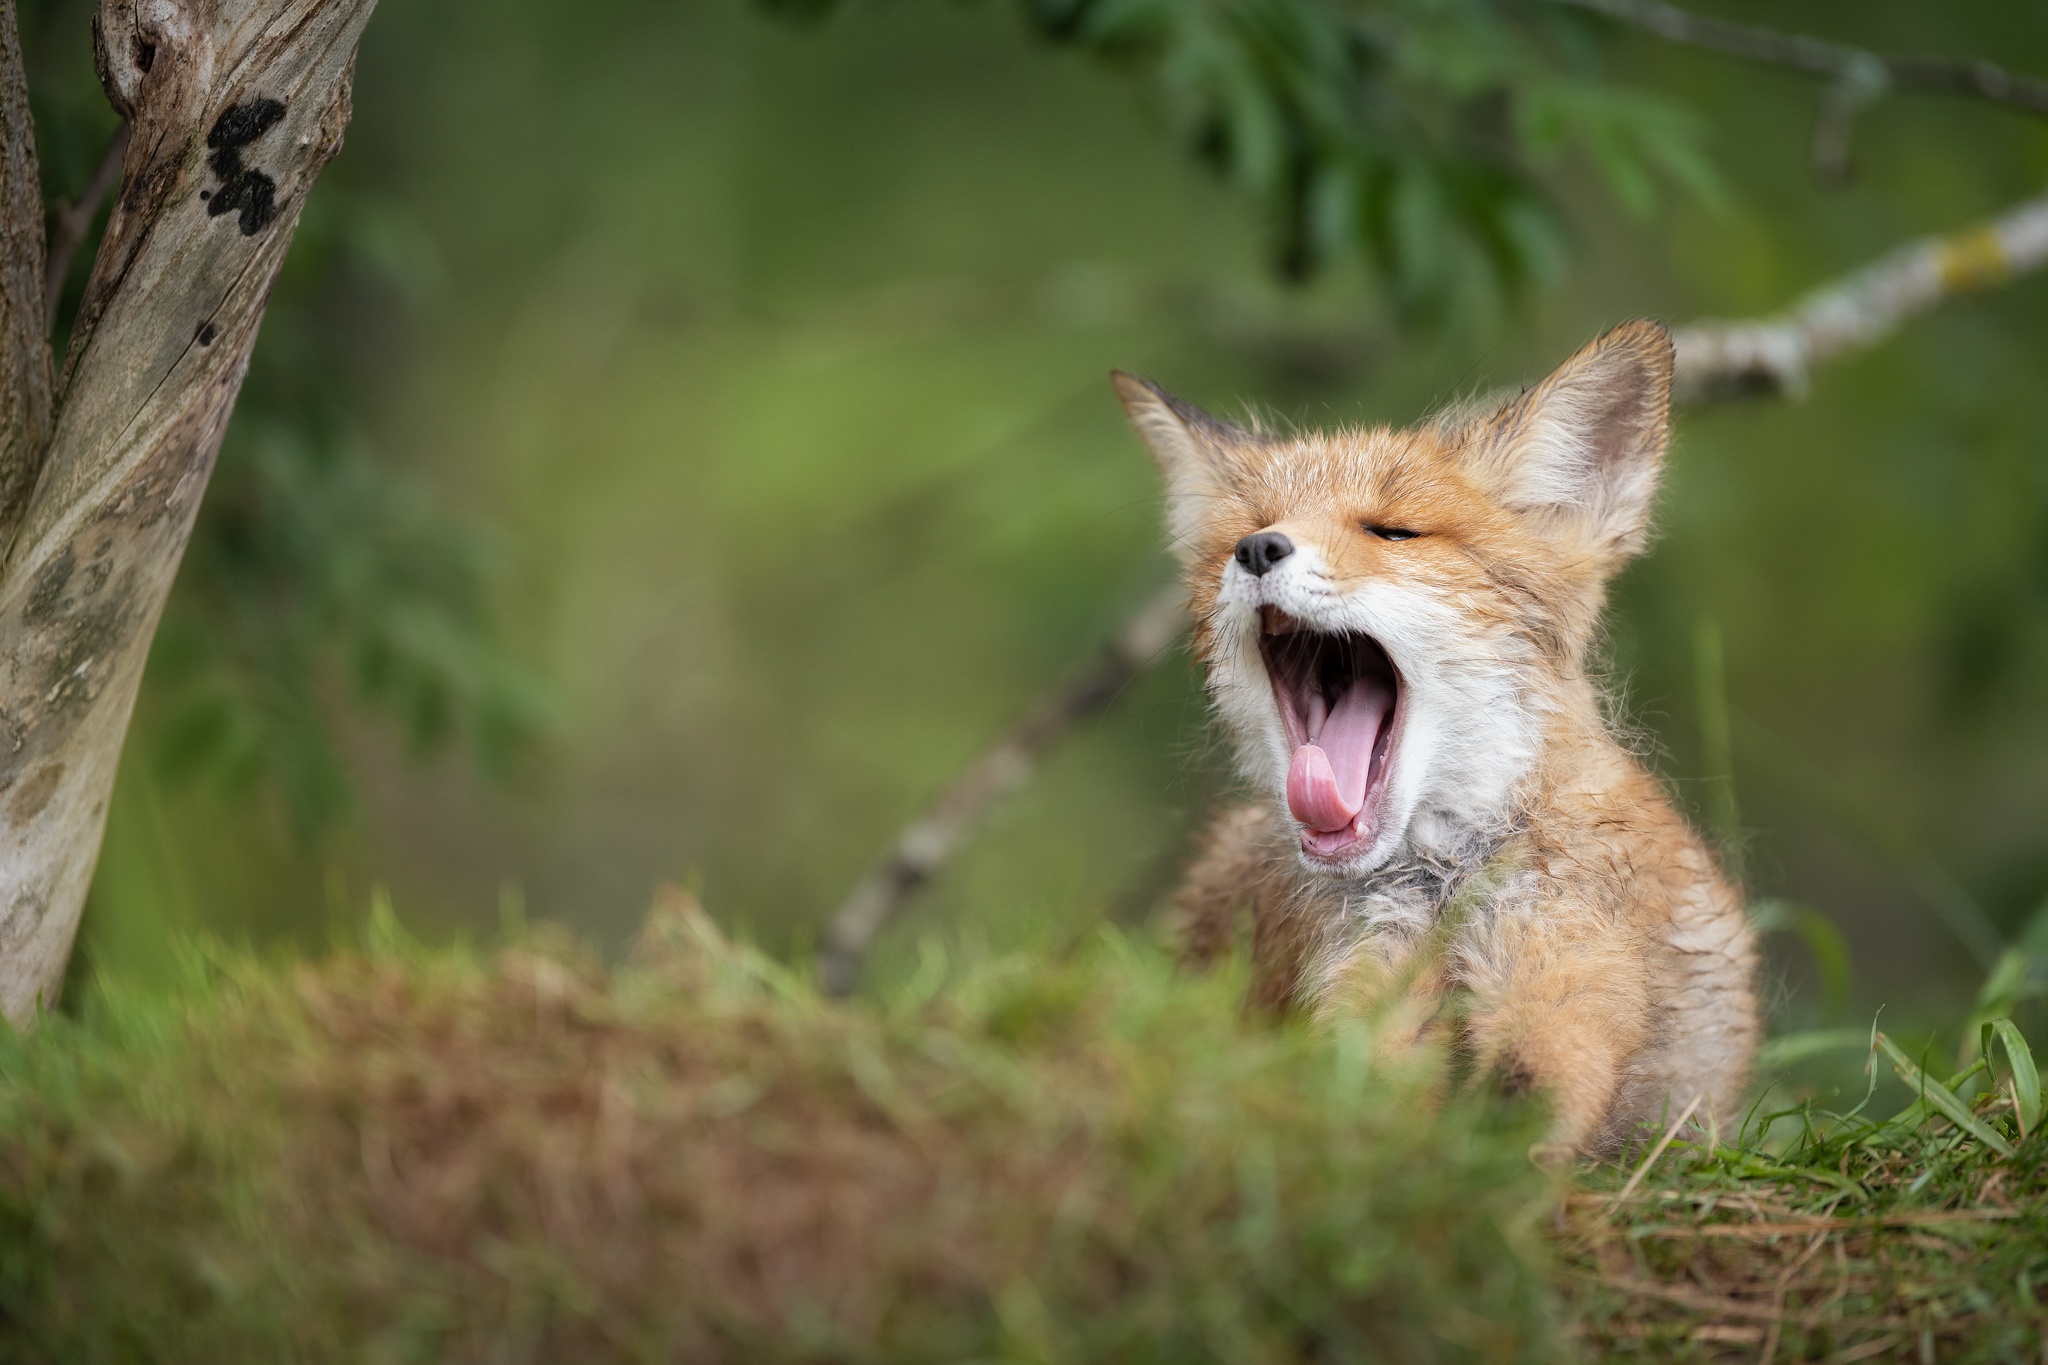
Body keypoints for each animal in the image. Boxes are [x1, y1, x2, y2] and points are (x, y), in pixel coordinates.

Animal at [1122, 321, 1761, 1154]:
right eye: (1246, 529)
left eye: (1393, 531)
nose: (1259, 549)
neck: (1440, 887)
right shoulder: (1363, 973)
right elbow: (1363, 1090)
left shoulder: (1565, 963)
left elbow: (1535, 1087)